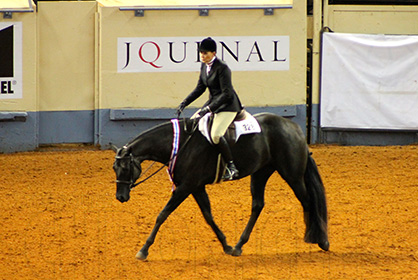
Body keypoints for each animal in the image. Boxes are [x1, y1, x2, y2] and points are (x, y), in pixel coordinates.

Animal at [112, 112, 328, 260]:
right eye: (114, 168)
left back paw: (319, 239)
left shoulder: (186, 186)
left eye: (125, 167)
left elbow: (163, 214)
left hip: (292, 175)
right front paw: (226, 246)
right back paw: (239, 245)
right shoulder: (196, 187)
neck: (180, 144)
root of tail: (294, 128)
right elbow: (208, 216)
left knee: (308, 201)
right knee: (258, 205)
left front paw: (143, 250)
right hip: (260, 173)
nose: (120, 197)